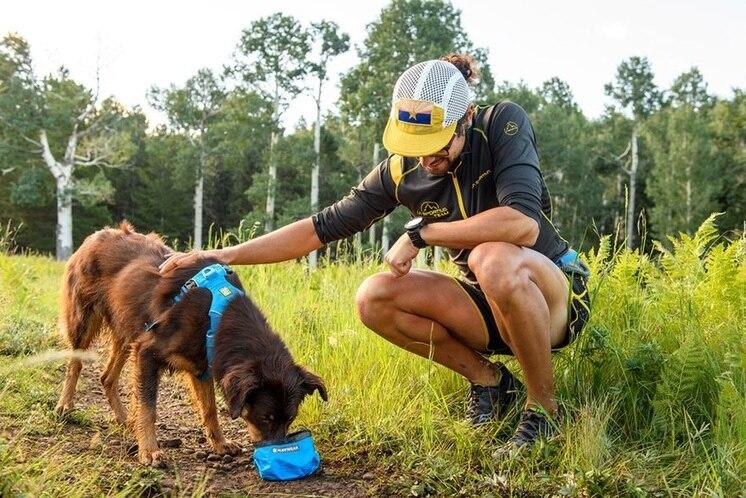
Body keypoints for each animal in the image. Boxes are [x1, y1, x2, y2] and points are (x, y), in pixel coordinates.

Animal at [53, 223, 326, 466]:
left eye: (289, 419)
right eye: (265, 418)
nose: (277, 452)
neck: (218, 314)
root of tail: (97, 235)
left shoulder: (202, 364)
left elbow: (210, 409)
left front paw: (220, 444)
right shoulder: (147, 352)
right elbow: (148, 408)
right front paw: (150, 451)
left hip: (127, 330)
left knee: (107, 377)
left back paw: (125, 420)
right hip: (84, 320)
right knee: (74, 364)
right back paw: (65, 405)